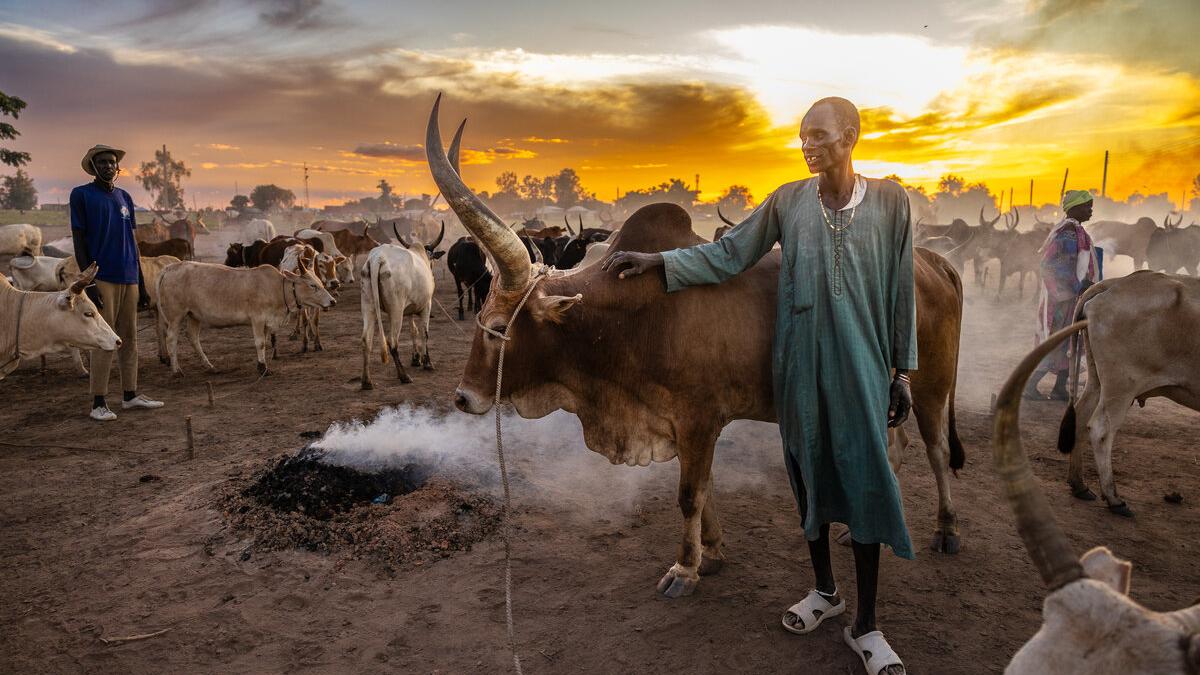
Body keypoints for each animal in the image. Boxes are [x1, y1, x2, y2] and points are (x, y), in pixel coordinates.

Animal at [156, 260, 335, 376]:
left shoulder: (266, 322)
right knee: (171, 339)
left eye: (320, 283)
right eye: (312, 285)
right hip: (176, 316)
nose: (332, 301)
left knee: (193, 338)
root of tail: (169, 268)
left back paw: (209, 366)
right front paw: (263, 368)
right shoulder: (257, 319)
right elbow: (260, 343)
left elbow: (264, 342)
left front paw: (261, 364)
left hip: (194, 315)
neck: (277, 288)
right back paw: (177, 370)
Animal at [358, 225, 445, 389]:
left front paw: (416, 359)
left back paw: (367, 382)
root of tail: (378, 257)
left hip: (368, 305)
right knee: (392, 342)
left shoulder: (409, 309)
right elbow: (424, 332)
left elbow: (413, 331)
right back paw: (404, 376)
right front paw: (427, 362)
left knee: (366, 340)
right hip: (396, 309)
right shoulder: (426, 305)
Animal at [1052, 271, 1200, 516]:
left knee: (1080, 417)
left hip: (1098, 381)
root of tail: (1116, 283)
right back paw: (1114, 498)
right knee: (1101, 430)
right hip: (1121, 387)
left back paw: (1079, 484)